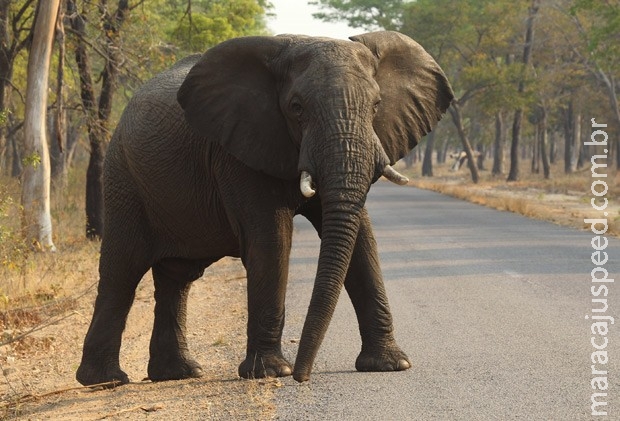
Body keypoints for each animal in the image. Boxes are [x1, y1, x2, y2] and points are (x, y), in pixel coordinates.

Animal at [76, 28, 456, 384]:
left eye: (376, 106)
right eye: (296, 108)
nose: (304, 376)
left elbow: (362, 237)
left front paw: (391, 365)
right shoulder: (237, 150)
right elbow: (272, 239)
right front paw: (272, 372)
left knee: (177, 277)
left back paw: (179, 373)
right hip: (123, 177)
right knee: (123, 269)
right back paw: (106, 380)